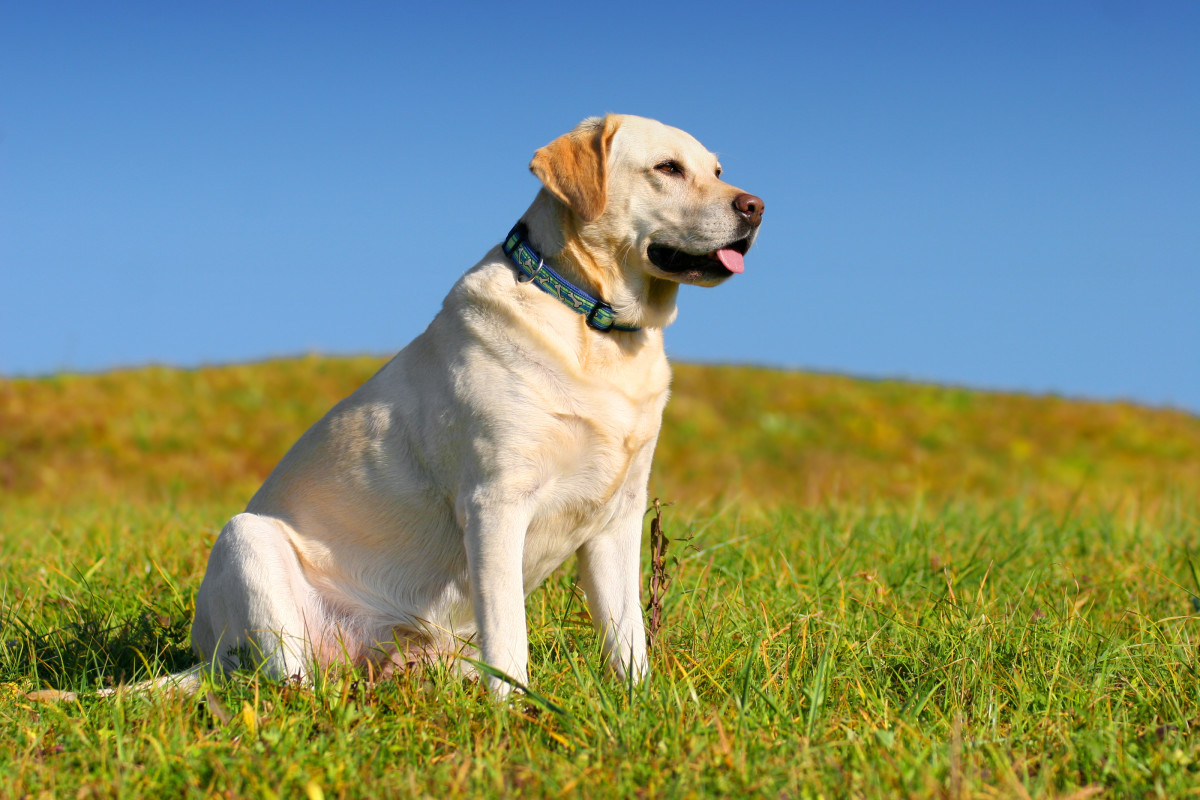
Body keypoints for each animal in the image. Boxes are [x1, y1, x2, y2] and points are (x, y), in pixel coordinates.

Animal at [189, 115, 768, 695]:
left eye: (718, 170)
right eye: (668, 168)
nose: (757, 206)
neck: (593, 322)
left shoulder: (619, 516)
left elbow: (628, 635)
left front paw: (638, 700)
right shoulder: (497, 503)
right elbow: (511, 635)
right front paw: (515, 708)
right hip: (247, 542)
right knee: (289, 682)